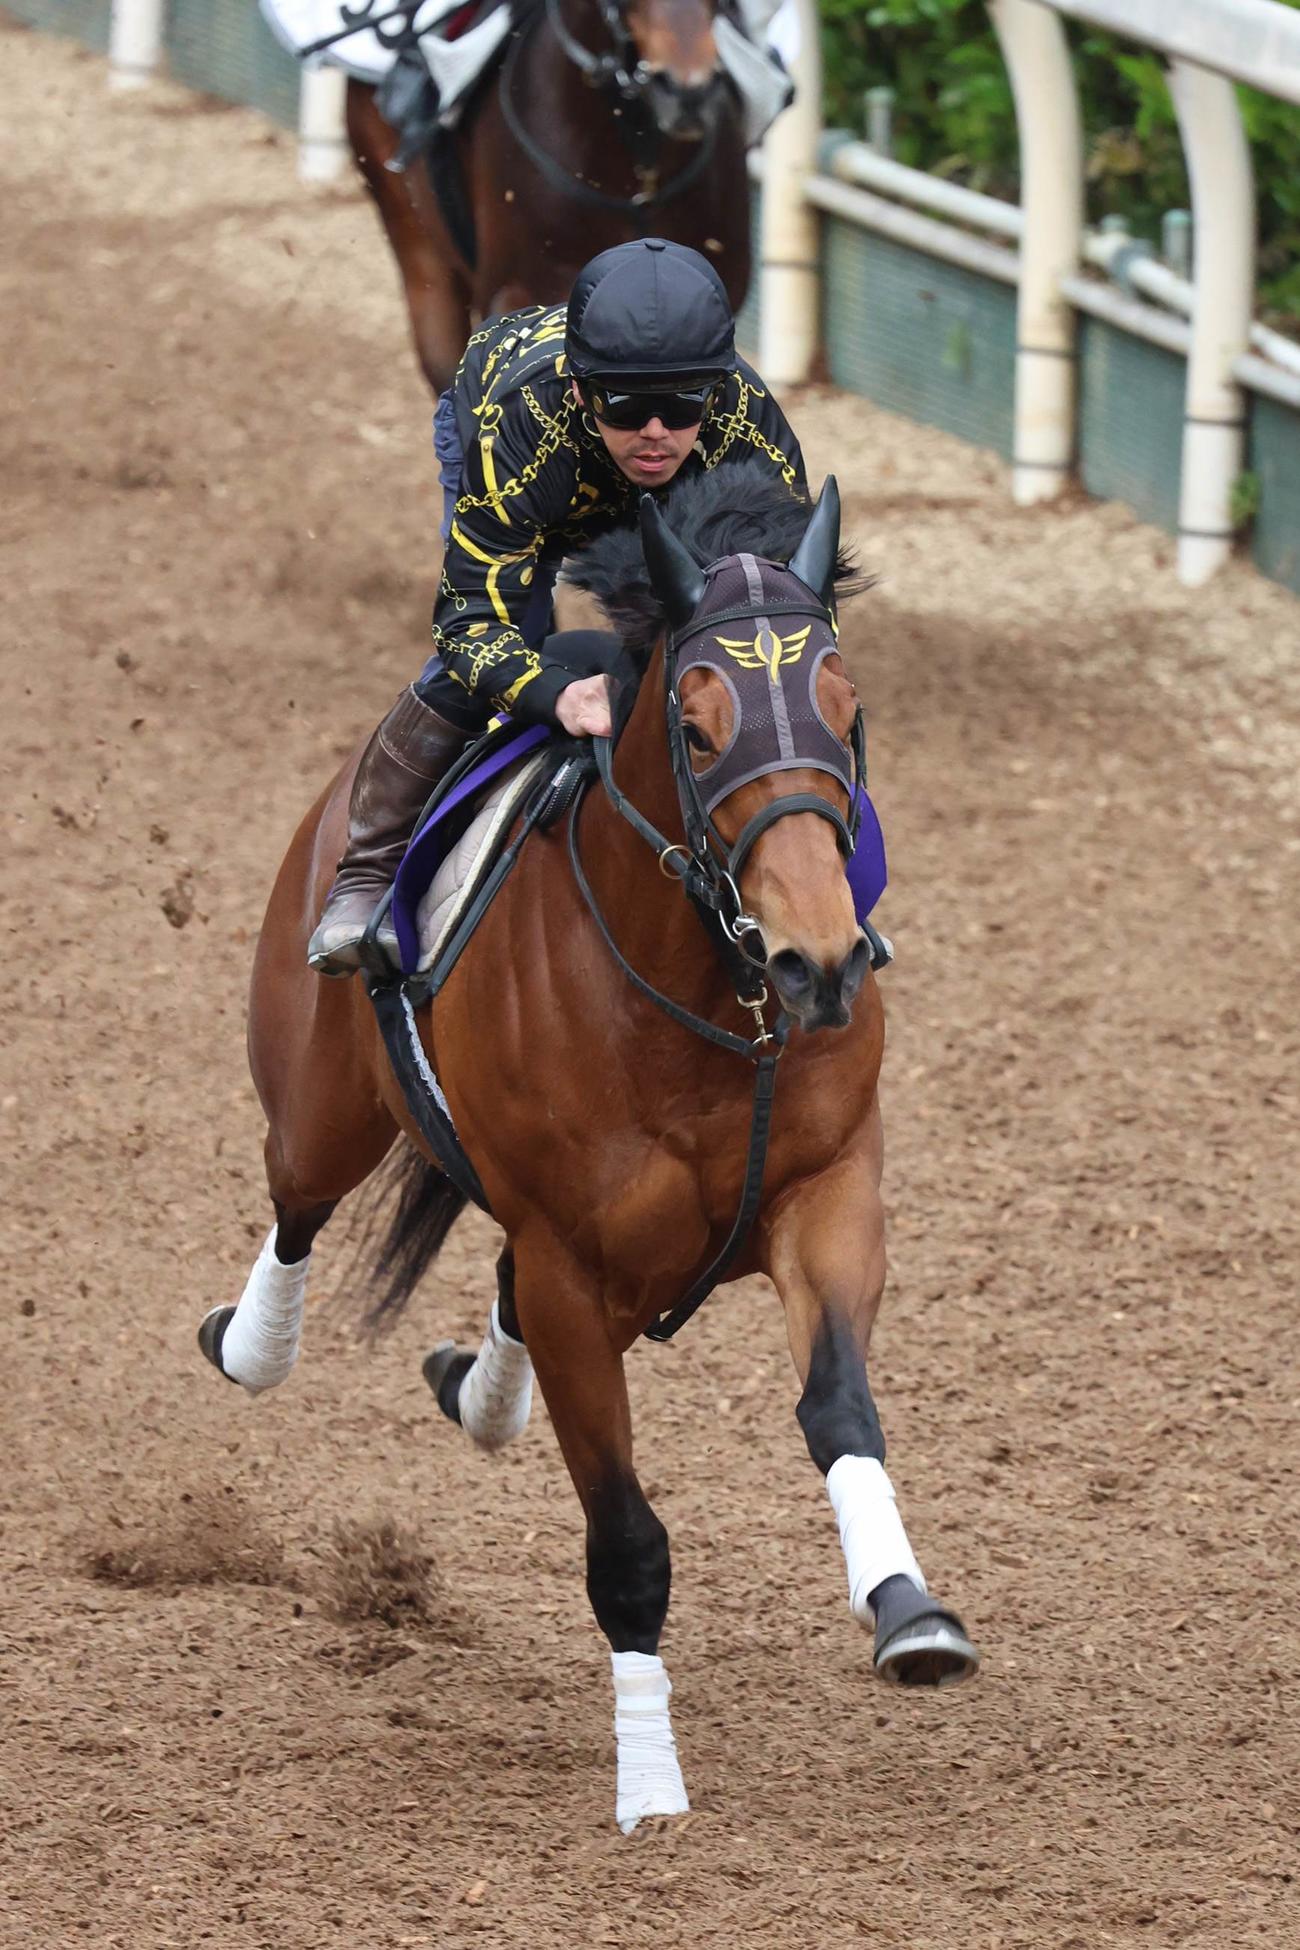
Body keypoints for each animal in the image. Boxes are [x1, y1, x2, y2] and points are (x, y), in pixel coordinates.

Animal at [201, 465, 979, 1831]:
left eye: (846, 711)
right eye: (699, 728)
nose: (819, 962)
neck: (709, 1005)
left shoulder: (829, 1196)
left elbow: (839, 1409)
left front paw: (908, 1611)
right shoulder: (573, 1269)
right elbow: (626, 1546)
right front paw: (650, 1782)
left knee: (486, 1291)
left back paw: (474, 1389)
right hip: (321, 1103)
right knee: (297, 1208)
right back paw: (253, 1343)